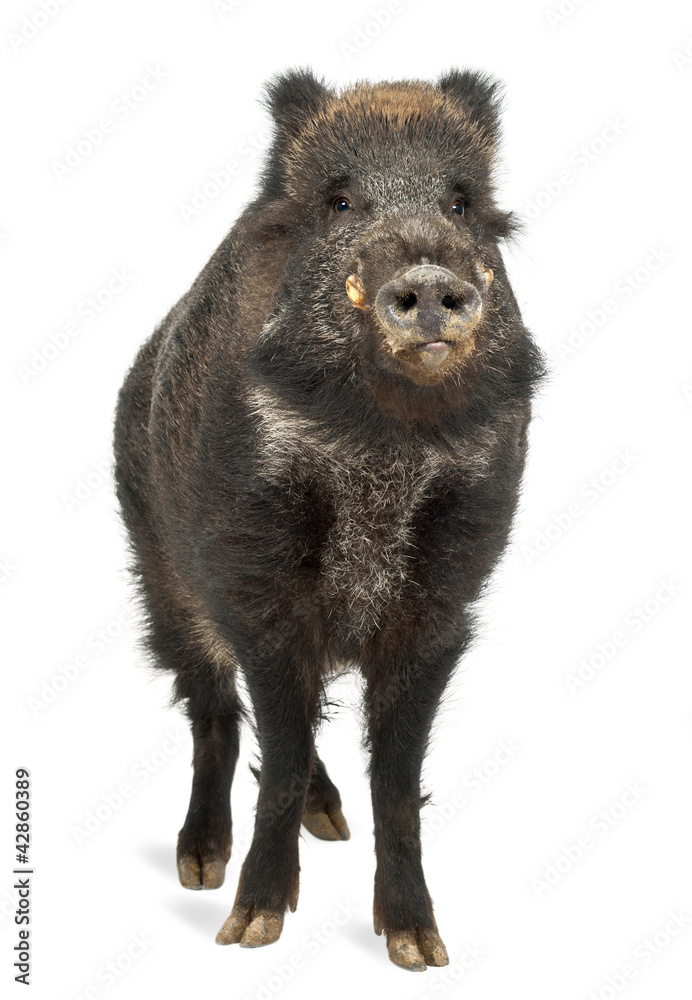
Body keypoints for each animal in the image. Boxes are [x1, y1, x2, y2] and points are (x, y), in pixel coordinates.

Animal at [113, 67, 546, 971]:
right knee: (215, 710)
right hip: (161, 574)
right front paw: (247, 933)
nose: (430, 275)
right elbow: (273, 751)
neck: (384, 441)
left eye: (461, 202)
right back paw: (200, 867)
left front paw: (420, 950)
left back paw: (331, 822)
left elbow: (398, 777)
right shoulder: (259, 582)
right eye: (340, 202)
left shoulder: (443, 596)